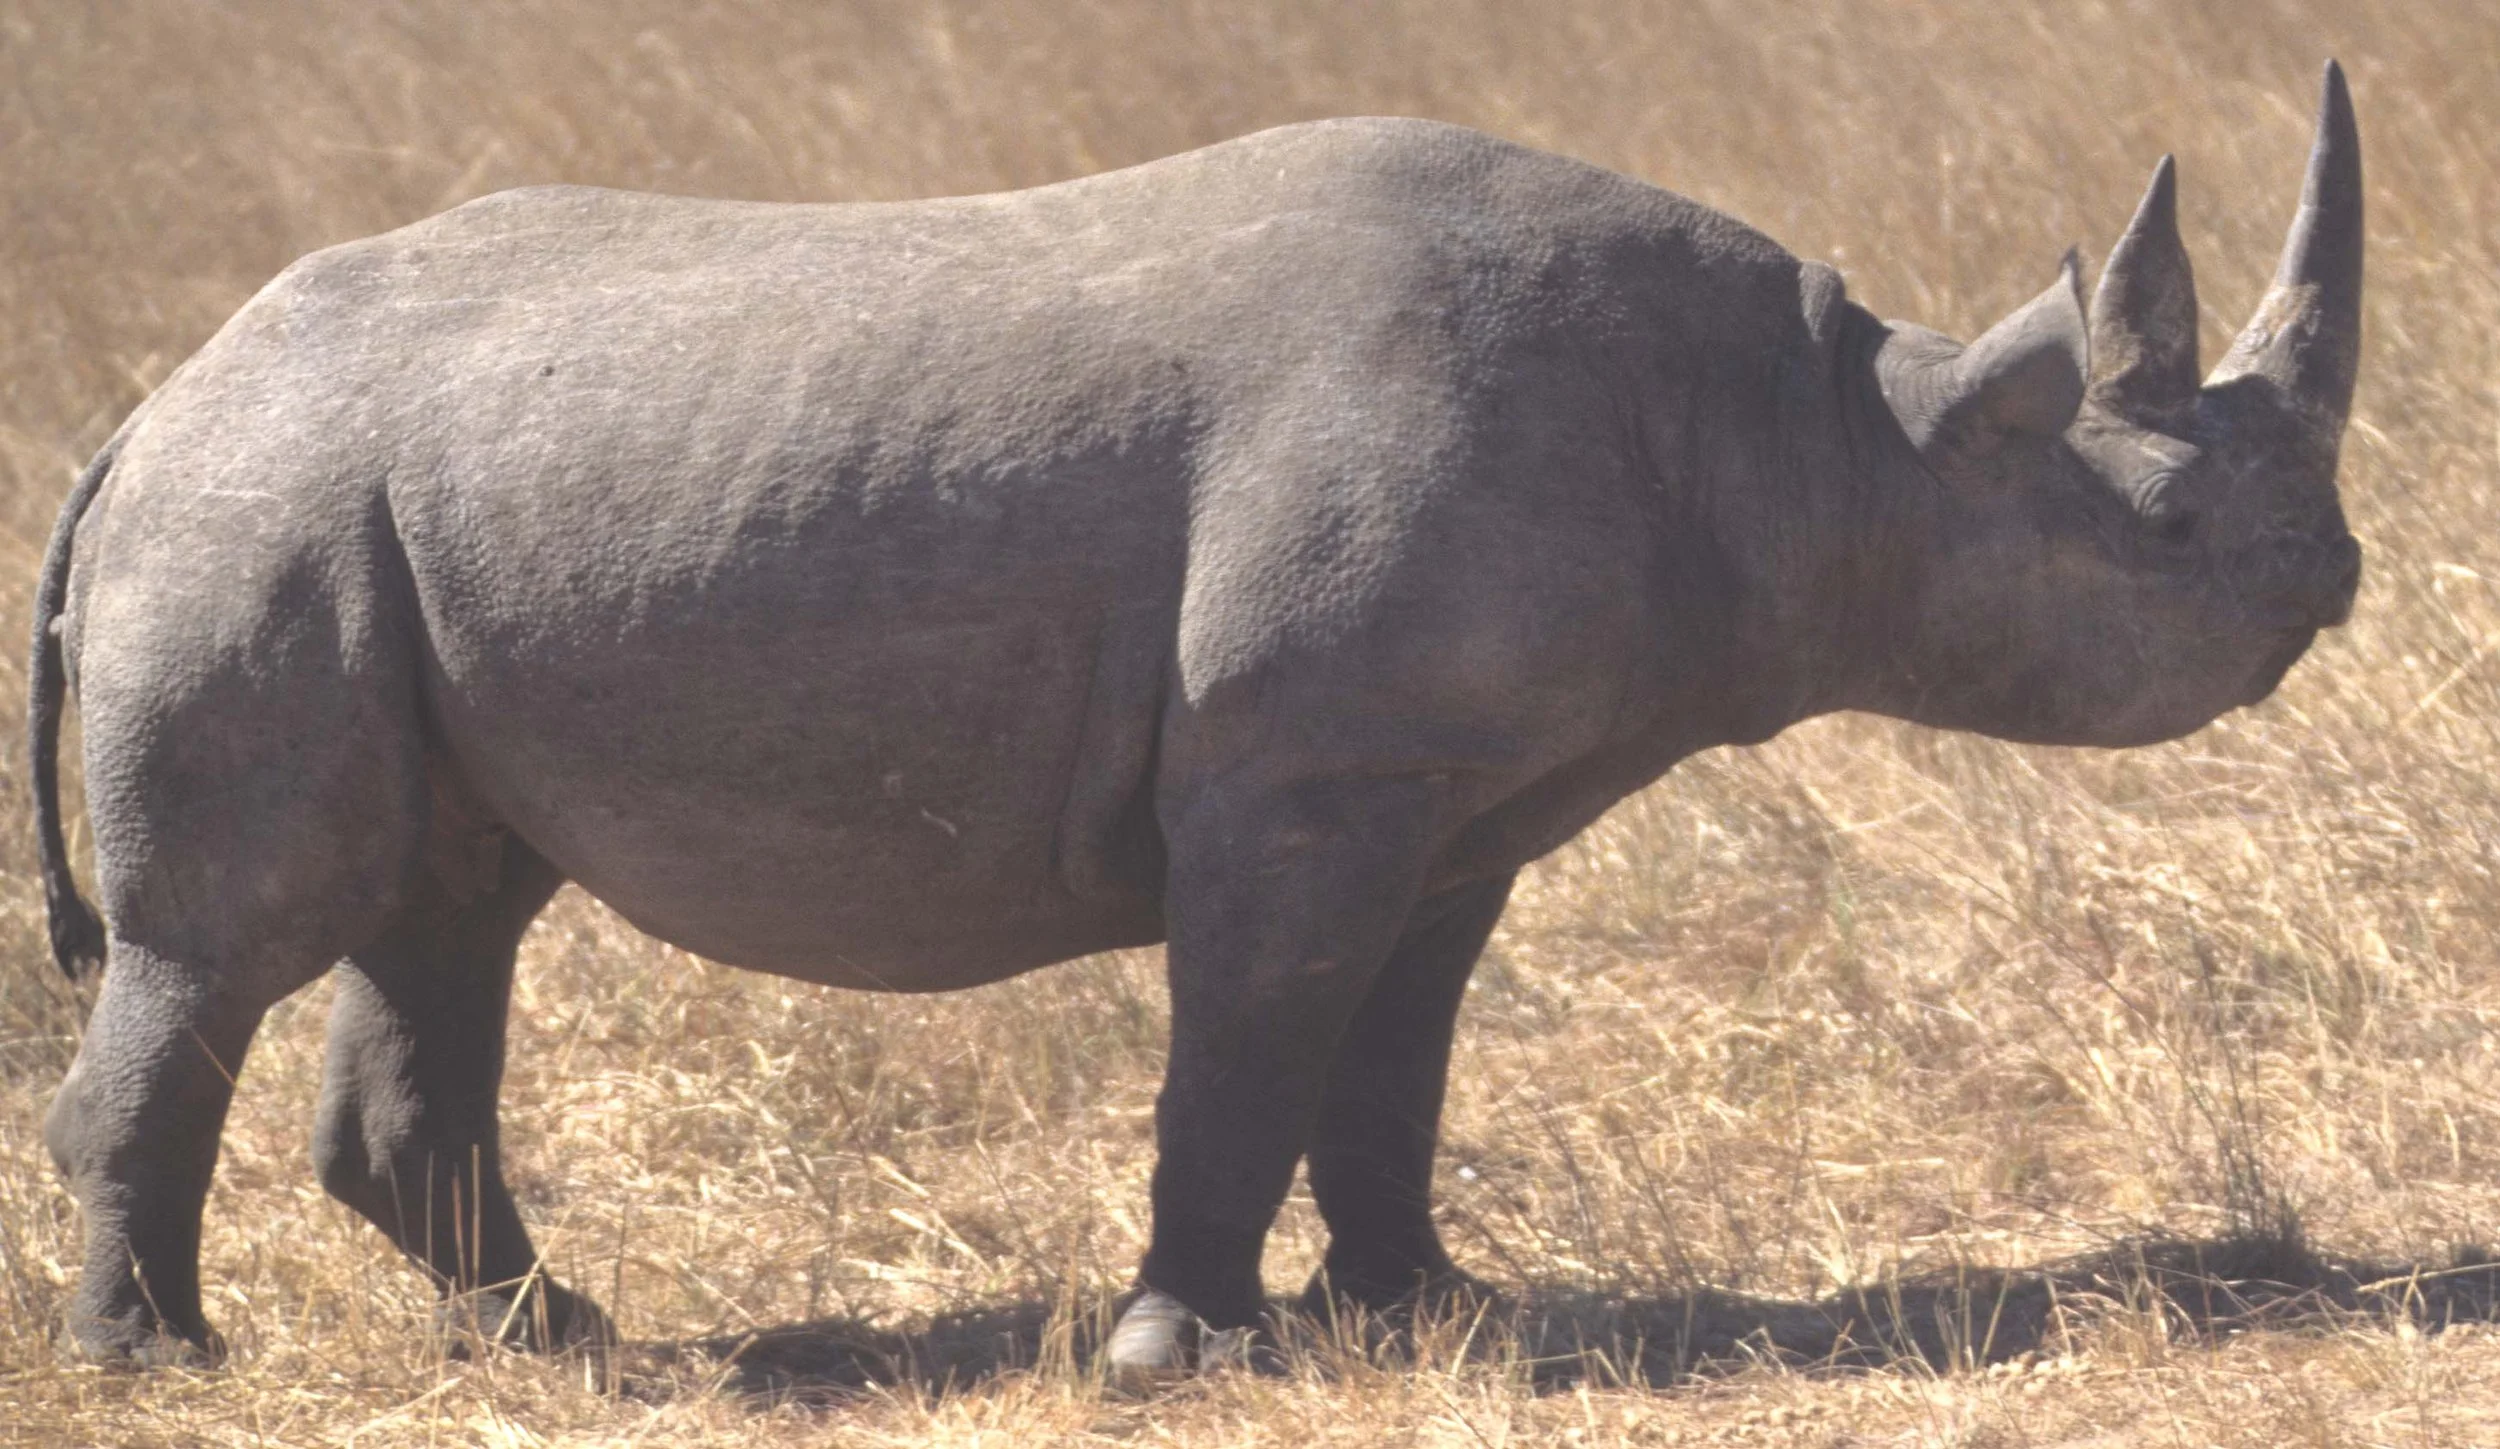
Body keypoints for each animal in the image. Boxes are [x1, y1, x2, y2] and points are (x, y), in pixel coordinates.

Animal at [29, 64, 2363, 1374]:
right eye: (2171, 532)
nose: (2327, 588)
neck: (1835, 431)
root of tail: (149, 403)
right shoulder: (1305, 763)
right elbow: (1251, 1040)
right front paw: (1182, 1351)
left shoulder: (1448, 779)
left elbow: (1391, 1059)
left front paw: (1427, 1313)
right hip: (268, 505)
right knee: (238, 935)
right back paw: (160, 1361)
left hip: (383, 515)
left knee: (447, 905)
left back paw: (569, 1342)